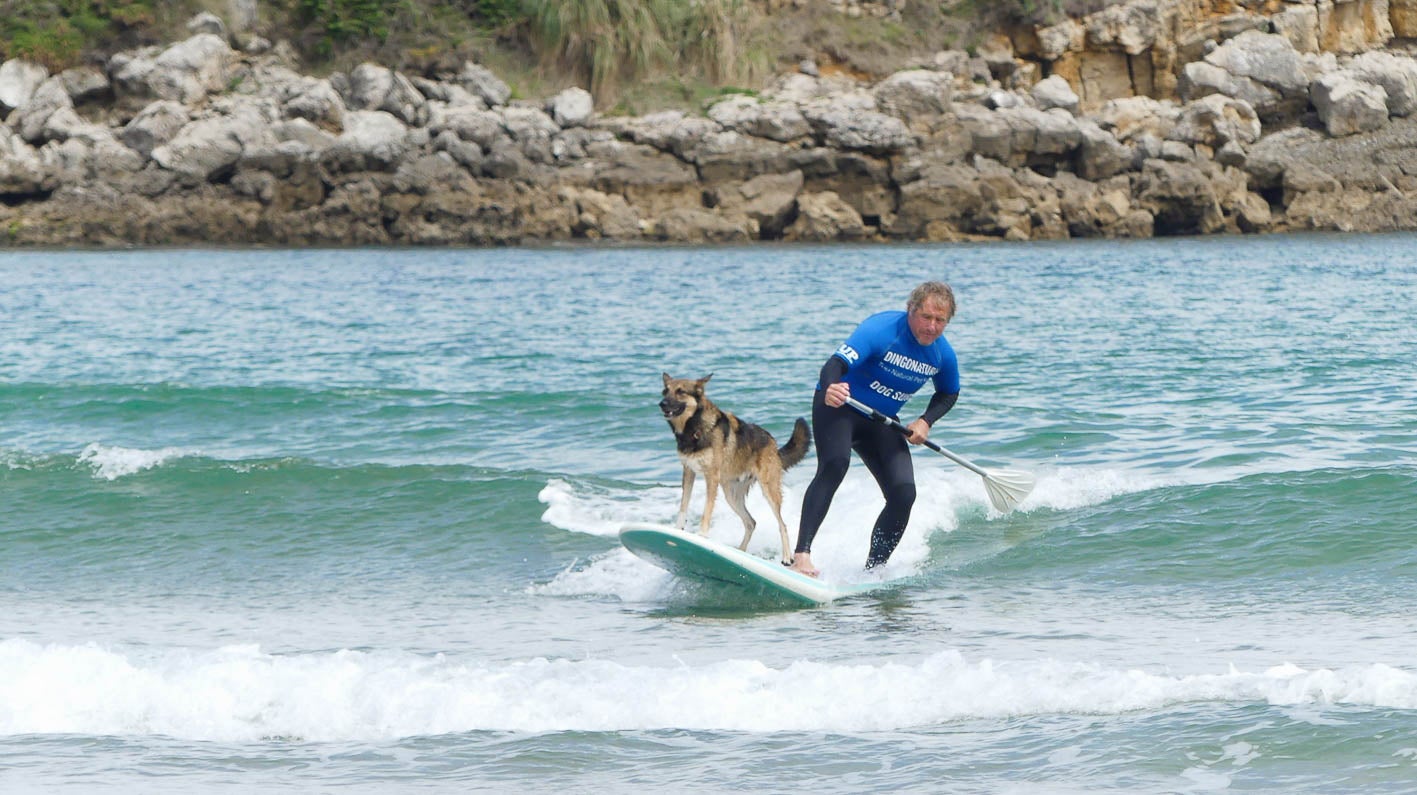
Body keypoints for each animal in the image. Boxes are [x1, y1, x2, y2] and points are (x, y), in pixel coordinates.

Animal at [654, 374, 810, 564]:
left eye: (680, 391)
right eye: (665, 391)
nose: (662, 403)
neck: (694, 426)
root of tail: (773, 444)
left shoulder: (711, 477)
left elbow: (706, 510)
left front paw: (701, 535)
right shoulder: (688, 472)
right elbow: (683, 505)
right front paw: (677, 530)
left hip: (769, 491)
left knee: (782, 524)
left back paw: (787, 557)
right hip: (731, 496)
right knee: (751, 522)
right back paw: (741, 553)